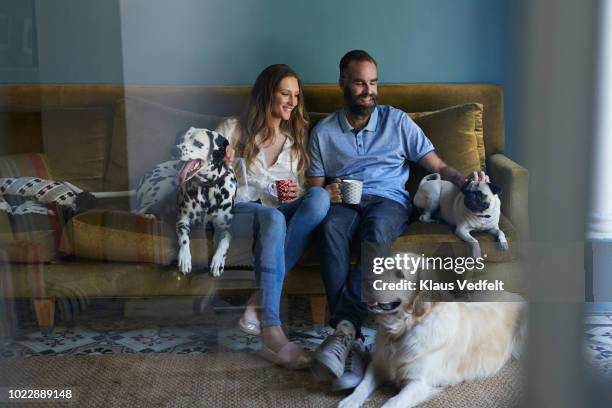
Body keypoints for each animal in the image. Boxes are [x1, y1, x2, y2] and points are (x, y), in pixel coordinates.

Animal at [175, 127, 239, 278]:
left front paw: (218, 261)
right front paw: (184, 258)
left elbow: (224, 242)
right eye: (182, 139)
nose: (174, 150)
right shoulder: (182, 220)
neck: (208, 187)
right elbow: (184, 238)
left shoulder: (227, 227)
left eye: (198, 143)